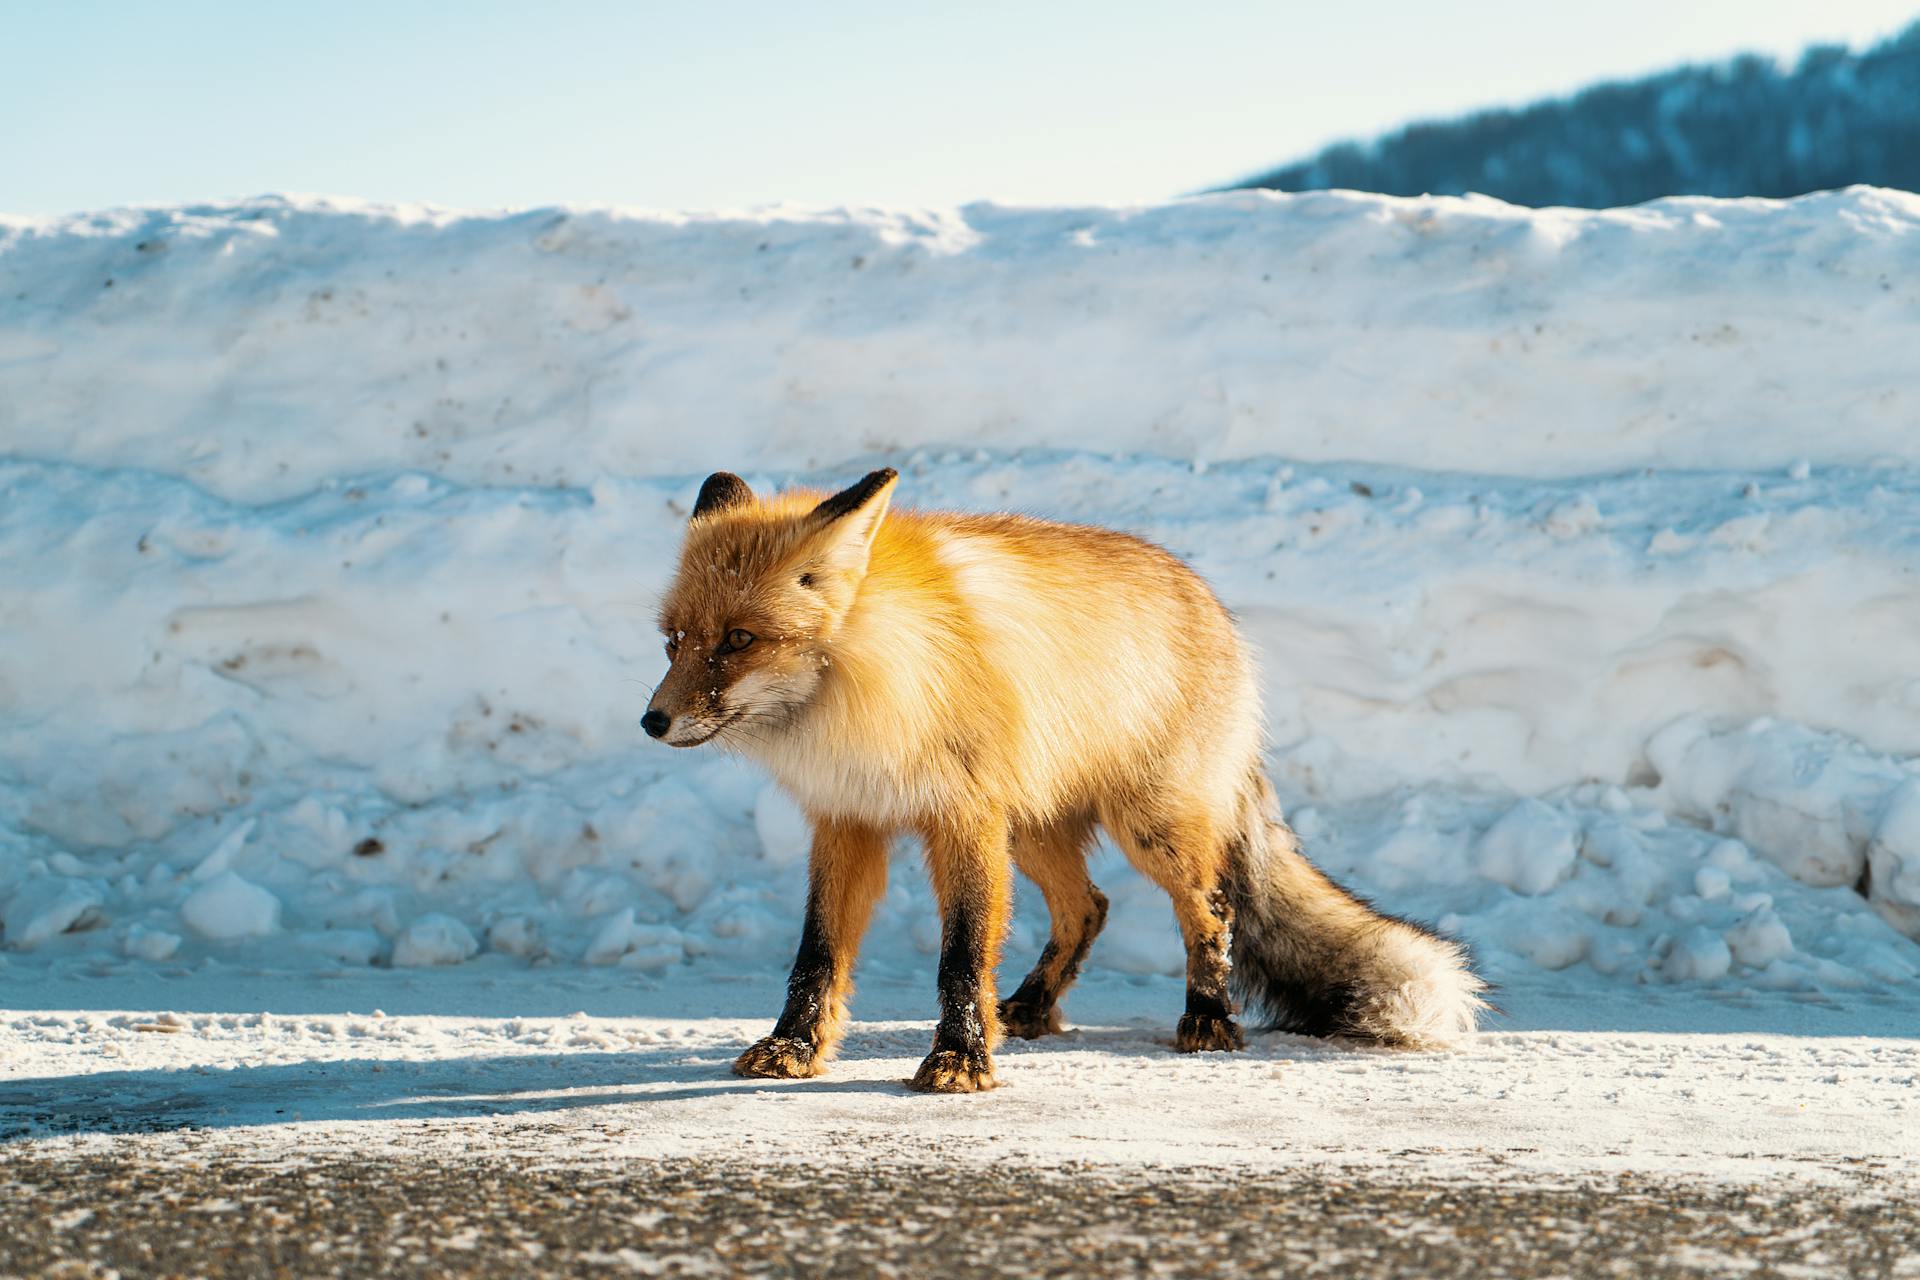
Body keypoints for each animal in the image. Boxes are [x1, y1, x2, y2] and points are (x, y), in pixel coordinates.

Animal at [645, 468, 1482, 1090]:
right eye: (675, 641)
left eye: (738, 640)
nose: (652, 722)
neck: (874, 685)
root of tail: (1215, 606)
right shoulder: (848, 819)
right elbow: (816, 957)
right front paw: (796, 1048)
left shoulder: (965, 819)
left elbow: (960, 956)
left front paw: (960, 1061)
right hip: (1035, 830)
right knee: (1090, 906)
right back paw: (1032, 1007)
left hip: (1148, 828)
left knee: (1210, 909)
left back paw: (1209, 1017)